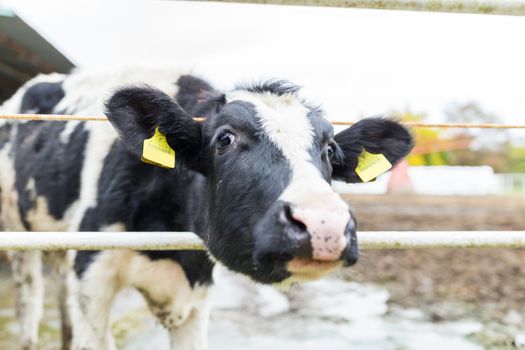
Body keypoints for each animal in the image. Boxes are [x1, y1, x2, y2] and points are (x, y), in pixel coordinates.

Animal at [0, 66, 412, 350]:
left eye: (329, 150)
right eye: (224, 138)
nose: (323, 224)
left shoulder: (197, 292)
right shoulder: (92, 276)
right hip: (19, 236)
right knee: (30, 301)